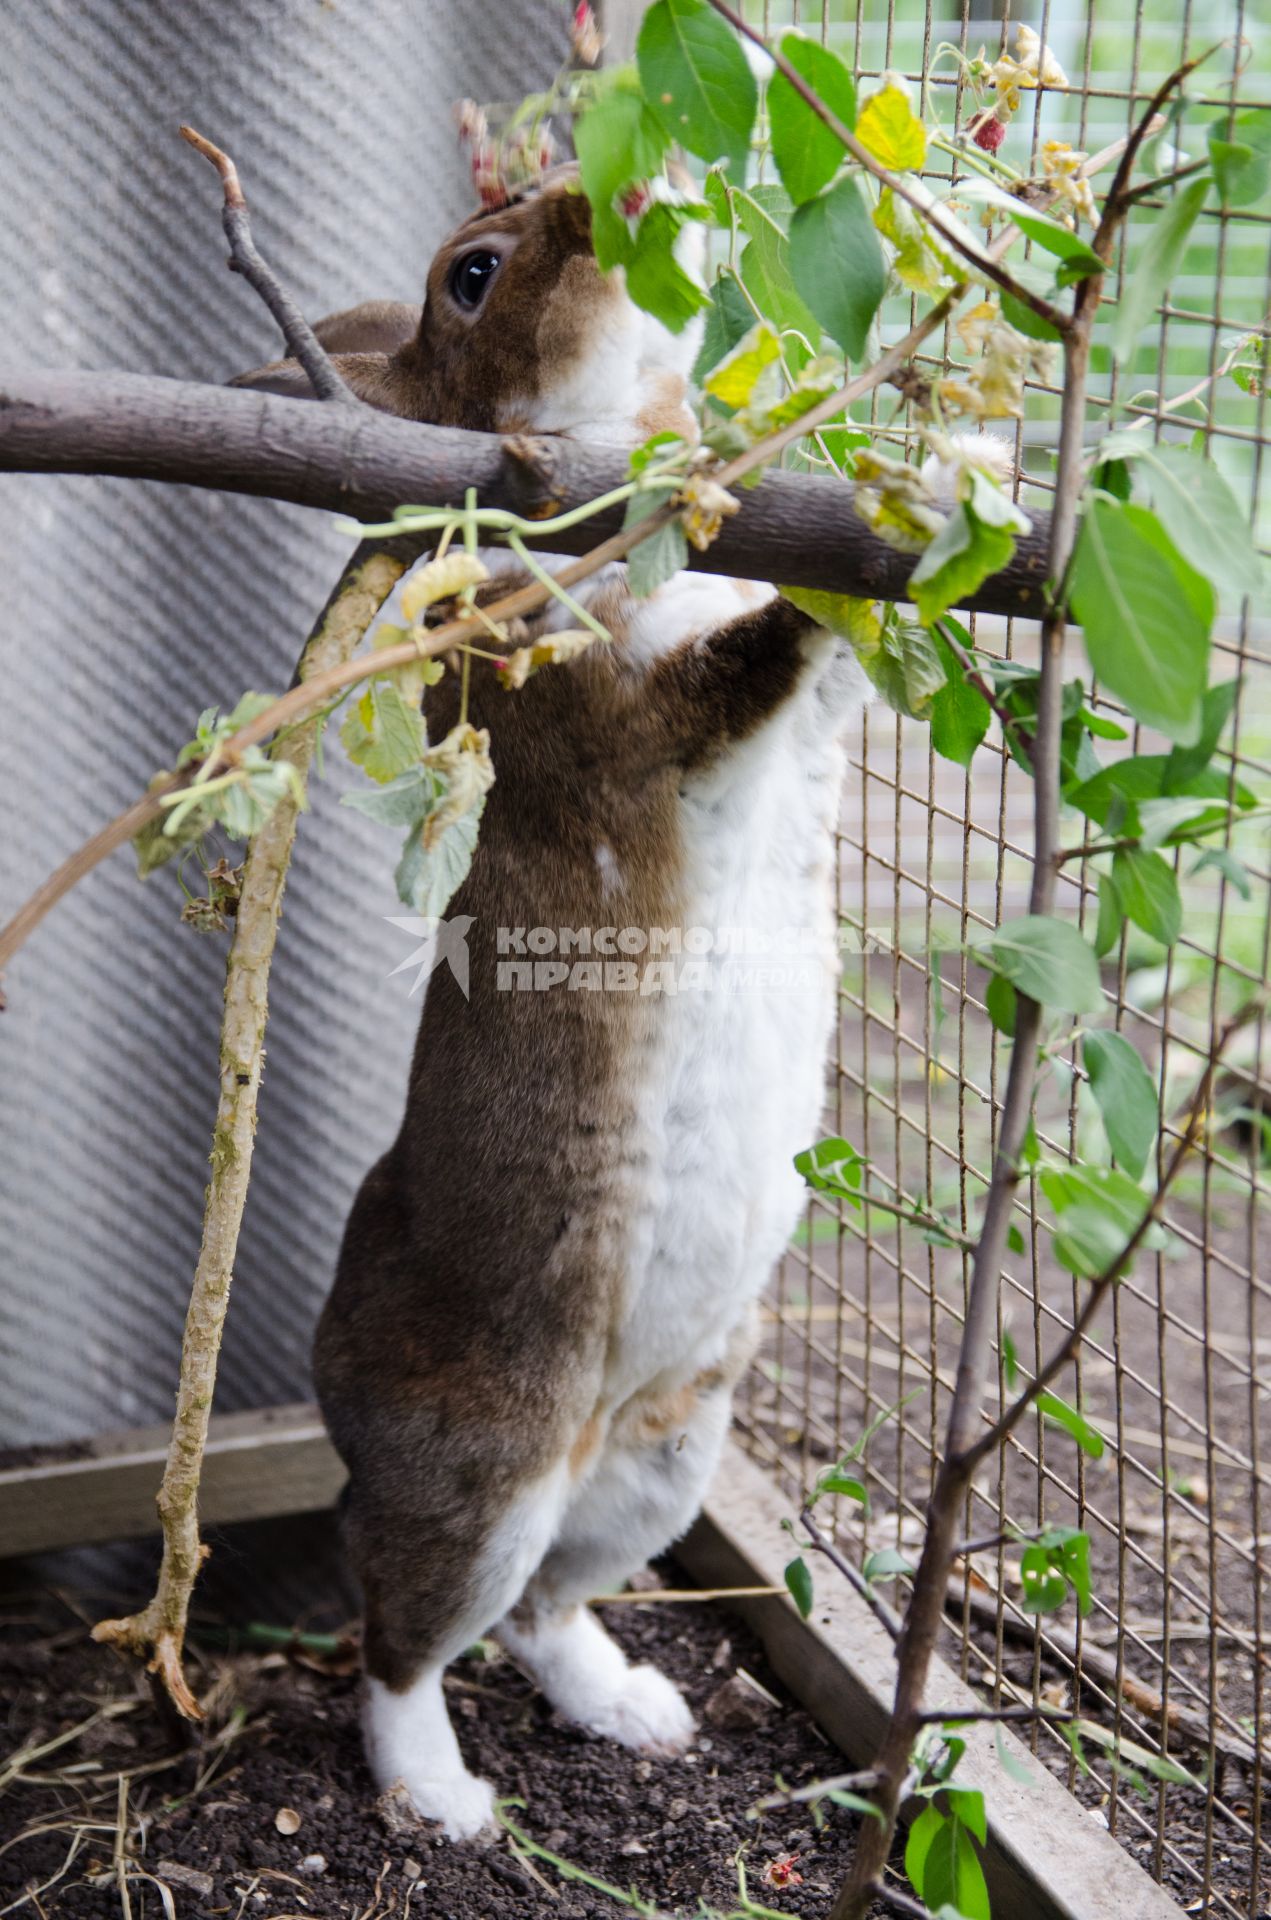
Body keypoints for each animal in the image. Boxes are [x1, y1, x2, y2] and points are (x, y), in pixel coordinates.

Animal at [234, 168, 875, 1843]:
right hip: (492, 1473)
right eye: (471, 275)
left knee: (540, 1617)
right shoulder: (616, 707)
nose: (621, 190)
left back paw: (636, 1711)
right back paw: (443, 1803)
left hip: (661, 1460)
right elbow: (750, 659)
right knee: (401, 1637)